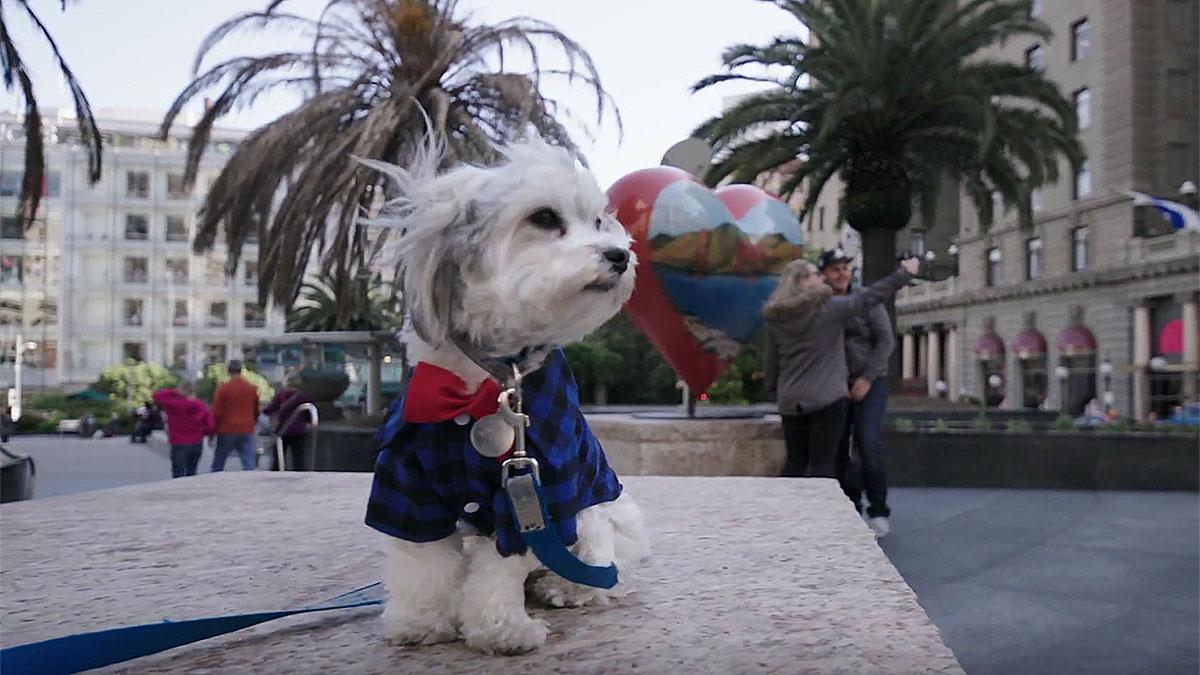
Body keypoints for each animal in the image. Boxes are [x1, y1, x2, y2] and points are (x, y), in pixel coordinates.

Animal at [362, 138, 652, 653]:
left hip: (598, 511)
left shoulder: (529, 488)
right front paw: (419, 621)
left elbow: (497, 572)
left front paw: (500, 631)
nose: (620, 254)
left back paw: (567, 587)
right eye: (544, 218)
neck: (485, 382)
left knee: (599, 561)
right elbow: (421, 562)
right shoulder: (405, 487)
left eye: (598, 221)